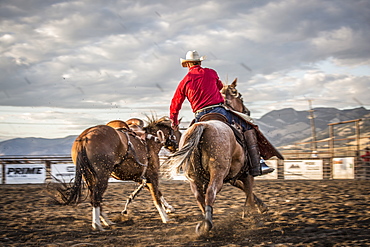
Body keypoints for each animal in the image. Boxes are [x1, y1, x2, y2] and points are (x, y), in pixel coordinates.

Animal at [50, 116, 181, 231]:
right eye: (179, 132)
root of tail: (85, 136)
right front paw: (165, 218)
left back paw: (107, 221)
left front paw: (170, 208)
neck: (151, 141)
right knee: (95, 198)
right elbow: (156, 196)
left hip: (89, 177)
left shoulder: (140, 178)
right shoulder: (152, 175)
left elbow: (158, 192)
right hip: (102, 176)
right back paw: (97, 224)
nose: (177, 146)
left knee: (96, 197)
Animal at [163, 78, 278, 235]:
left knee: (200, 197)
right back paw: (207, 224)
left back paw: (205, 224)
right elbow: (248, 190)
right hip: (217, 172)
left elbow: (245, 190)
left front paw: (260, 207)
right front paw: (254, 216)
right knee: (211, 192)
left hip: (194, 177)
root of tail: (202, 125)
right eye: (240, 96)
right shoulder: (246, 174)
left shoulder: (232, 176)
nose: (247, 111)